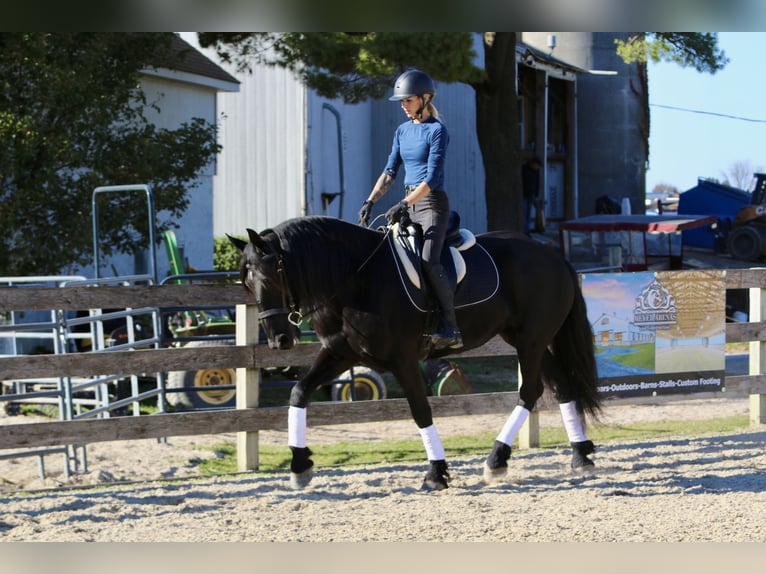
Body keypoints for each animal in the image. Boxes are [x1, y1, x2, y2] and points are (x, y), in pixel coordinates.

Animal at [229, 215, 602, 490]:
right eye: (246, 284)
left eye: (270, 279)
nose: (279, 340)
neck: (355, 279)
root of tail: (552, 255)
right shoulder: (340, 354)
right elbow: (298, 392)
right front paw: (299, 465)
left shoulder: (403, 360)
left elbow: (421, 412)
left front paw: (436, 473)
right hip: (528, 339)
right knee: (559, 387)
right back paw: (580, 457)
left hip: (532, 340)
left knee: (530, 390)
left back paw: (497, 460)